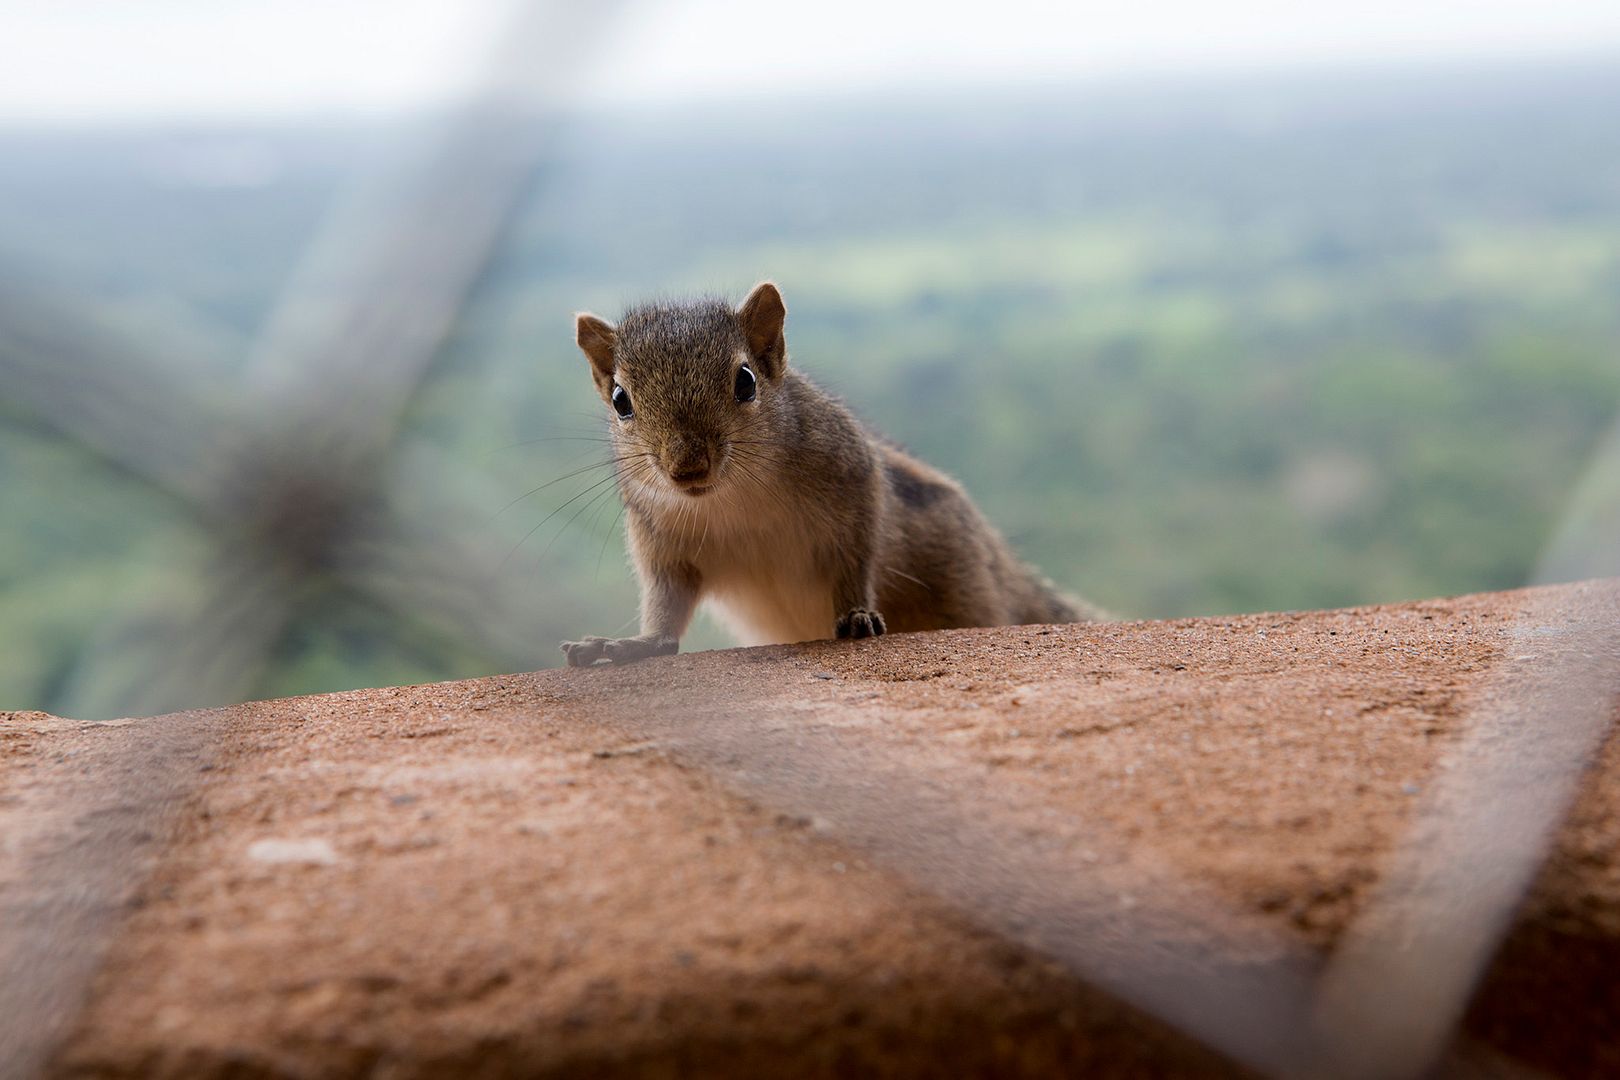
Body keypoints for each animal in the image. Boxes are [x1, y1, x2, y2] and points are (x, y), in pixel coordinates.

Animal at [557, 281, 1101, 667]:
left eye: (745, 381)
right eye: (621, 401)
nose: (687, 468)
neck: (732, 497)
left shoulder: (856, 489)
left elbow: (855, 561)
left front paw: (857, 615)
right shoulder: (664, 544)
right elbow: (667, 608)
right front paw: (635, 644)